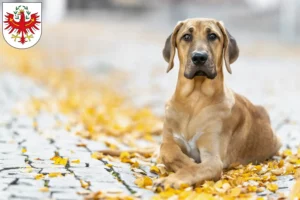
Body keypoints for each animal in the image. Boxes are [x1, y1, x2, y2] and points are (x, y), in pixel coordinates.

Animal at [154, 18, 282, 188]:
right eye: (186, 36)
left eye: (212, 36)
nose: (199, 57)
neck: (194, 100)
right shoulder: (169, 139)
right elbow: (166, 151)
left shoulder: (212, 157)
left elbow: (195, 168)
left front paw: (172, 179)